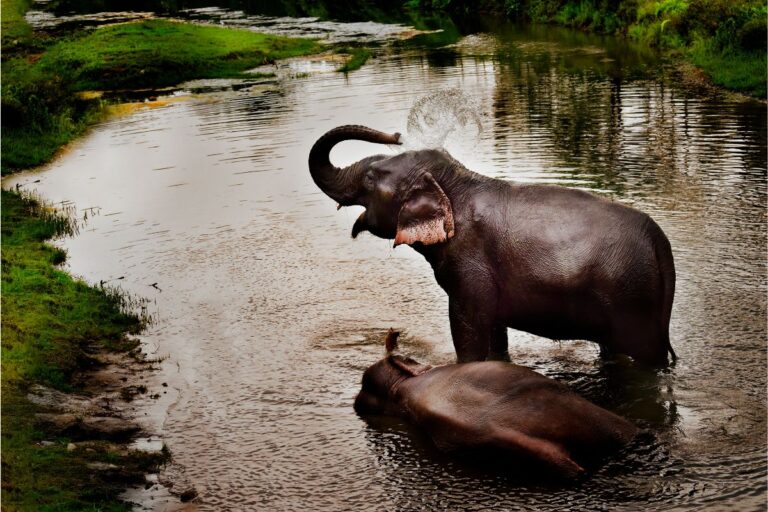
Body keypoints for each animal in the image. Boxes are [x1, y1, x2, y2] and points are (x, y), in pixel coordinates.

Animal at [309, 125, 676, 366]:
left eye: (371, 177)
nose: (396, 134)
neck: (458, 183)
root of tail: (660, 243)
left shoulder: (470, 265)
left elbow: (467, 329)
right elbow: (496, 331)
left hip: (631, 297)